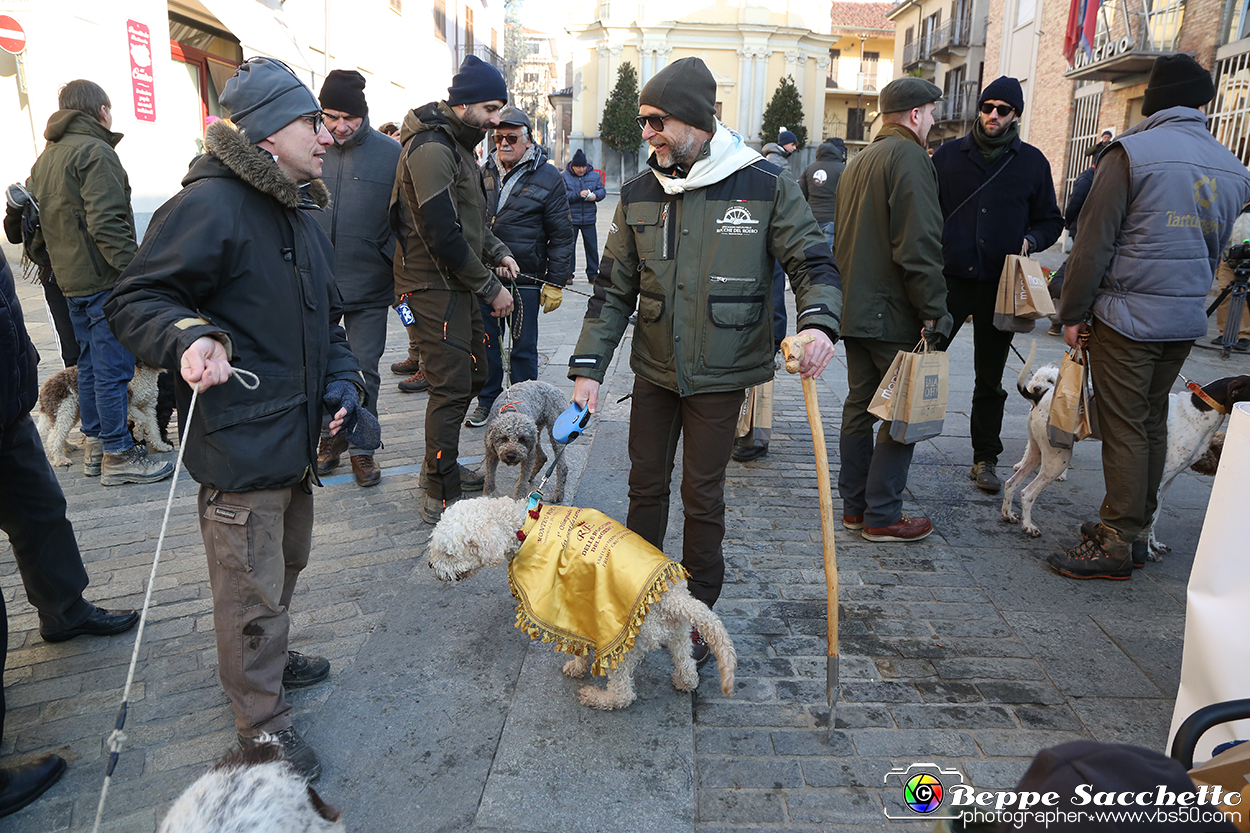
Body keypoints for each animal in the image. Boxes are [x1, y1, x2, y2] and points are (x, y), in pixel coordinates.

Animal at [37, 362, 173, 467]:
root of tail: (43, 390)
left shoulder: (149, 407)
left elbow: (154, 430)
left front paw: (161, 446)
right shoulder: (128, 406)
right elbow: (142, 419)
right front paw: (138, 434)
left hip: (71, 413)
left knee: (56, 433)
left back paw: (68, 447)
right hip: (64, 411)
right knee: (53, 438)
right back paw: (60, 459)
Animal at [430, 492, 735, 705]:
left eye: (447, 552)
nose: (432, 566)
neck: (526, 523)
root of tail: (673, 598)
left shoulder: (571, 604)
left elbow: (577, 644)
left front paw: (577, 667)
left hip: (626, 643)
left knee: (623, 693)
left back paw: (598, 698)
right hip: (679, 632)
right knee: (687, 664)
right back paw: (683, 681)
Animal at [1000, 340, 1070, 537]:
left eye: (1050, 380)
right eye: (1038, 378)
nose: (1037, 387)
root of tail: (1039, 398)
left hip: (1039, 453)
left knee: (1011, 484)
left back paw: (1008, 514)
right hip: (1057, 459)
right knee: (1027, 493)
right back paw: (1028, 526)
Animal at [1145, 372, 1250, 555]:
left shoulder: (1170, 478)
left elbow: (1155, 515)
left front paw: (1154, 545)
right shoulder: (1158, 477)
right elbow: (1149, 515)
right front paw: (1147, 551)